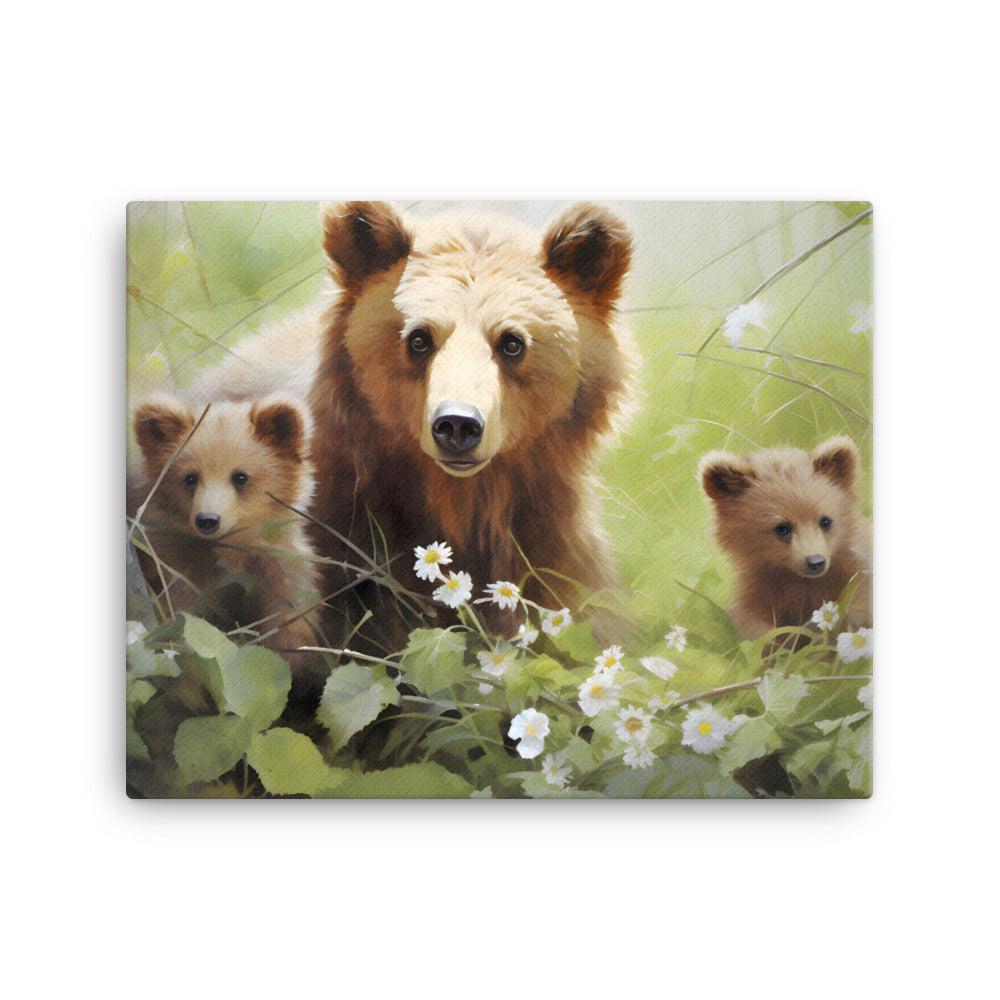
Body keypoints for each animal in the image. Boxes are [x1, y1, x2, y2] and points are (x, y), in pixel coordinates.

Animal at [130, 395, 320, 671]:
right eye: (190, 478)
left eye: (240, 477)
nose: (207, 520)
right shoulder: (177, 567)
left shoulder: (279, 567)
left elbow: (290, 618)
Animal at [698, 436, 872, 640]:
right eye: (782, 528)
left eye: (825, 521)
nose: (815, 562)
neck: (796, 579)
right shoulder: (760, 586)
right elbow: (753, 622)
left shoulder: (854, 573)